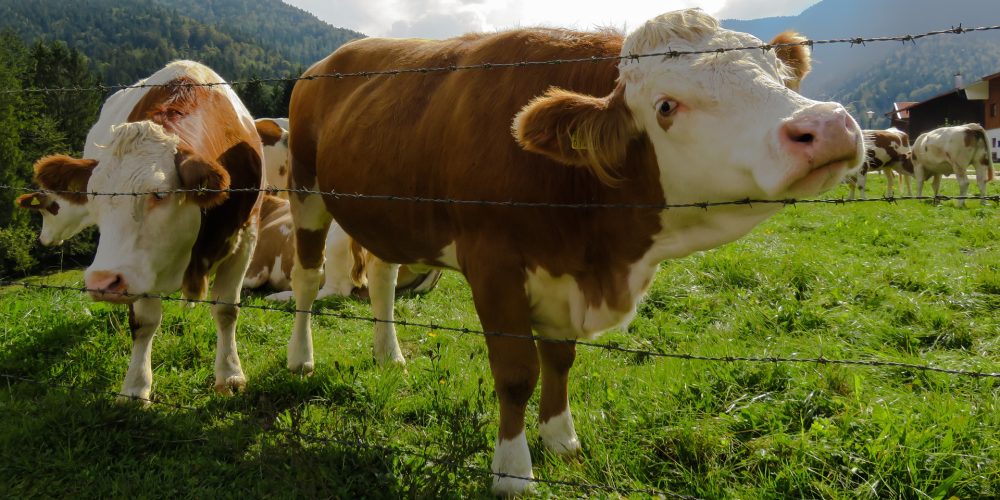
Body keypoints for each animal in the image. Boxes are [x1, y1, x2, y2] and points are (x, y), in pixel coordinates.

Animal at [32, 60, 263, 402]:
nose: (102, 282)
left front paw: (230, 374)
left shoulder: (245, 237)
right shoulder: (138, 266)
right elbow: (144, 321)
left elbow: (226, 310)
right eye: (93, 195)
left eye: (160, 193)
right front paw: (135, 387)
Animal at [286, 9, 863, 495]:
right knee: (307, 278)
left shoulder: (562, 273)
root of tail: (328, 62)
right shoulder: (492, 263)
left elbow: (560, 359)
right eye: (666, 106)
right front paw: (513, 472)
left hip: (386, 211)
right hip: (304, 189)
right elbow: (516, 372)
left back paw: (390, 356)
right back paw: (300, 358)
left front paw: (561, 439)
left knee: (382, 273)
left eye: (782, 78)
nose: (828, 125)